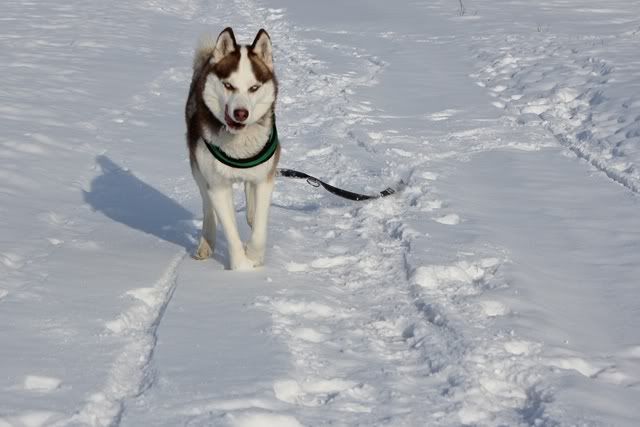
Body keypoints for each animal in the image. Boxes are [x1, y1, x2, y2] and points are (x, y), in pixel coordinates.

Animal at [185, 27, 279, 270]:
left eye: (254, 88)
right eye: (228, 85)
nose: (241, 113)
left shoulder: (265, 178)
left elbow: (260, 228)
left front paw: (254, 257)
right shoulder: (217, 185)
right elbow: (230, 231)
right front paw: (241, 269)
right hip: (198, 169)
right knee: (207, 206)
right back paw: (206, 243)